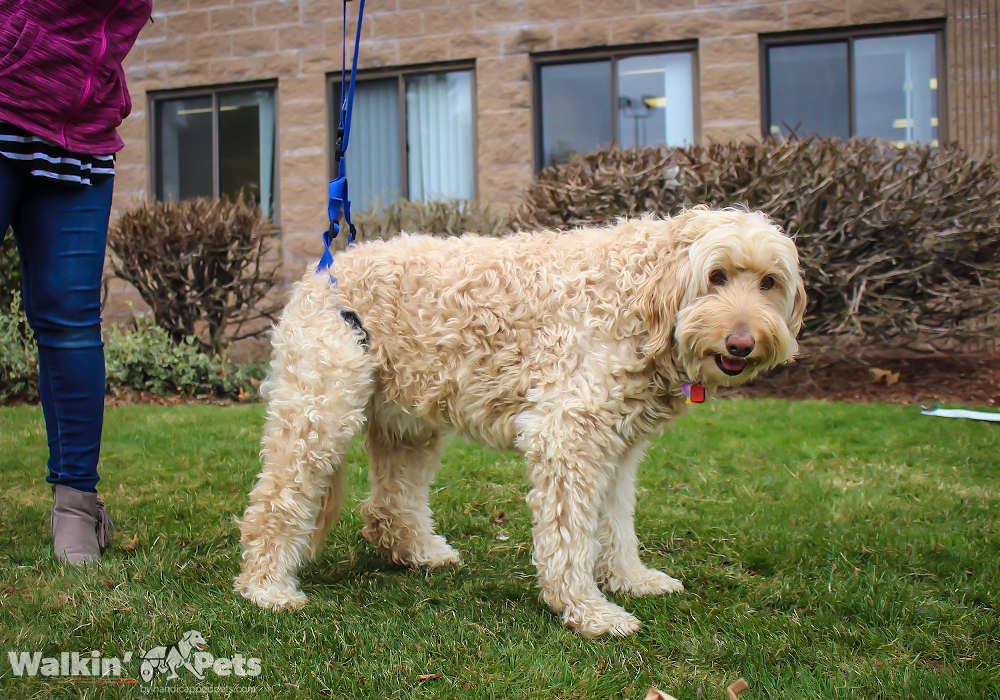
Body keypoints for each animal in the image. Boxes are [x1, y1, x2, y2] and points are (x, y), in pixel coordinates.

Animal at [235, 207, 806, 637]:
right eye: (716, 276)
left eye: (769, 282)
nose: (742, 343)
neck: (639, 294)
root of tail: (321, 271)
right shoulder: (568, 432)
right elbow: (570, 535)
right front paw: (586, 610)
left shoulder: (617, 445)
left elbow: (616, 523)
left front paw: (630, 579)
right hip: (318, 412)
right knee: (275, 500)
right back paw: (267, 586)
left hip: (408, 423)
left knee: (387, 505)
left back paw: (418, 552)